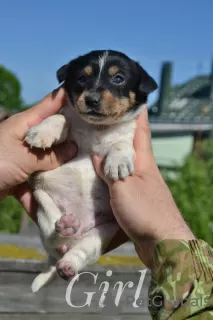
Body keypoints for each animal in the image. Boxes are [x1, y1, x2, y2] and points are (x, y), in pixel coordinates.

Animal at [25, 48, 158, 292]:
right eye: (82, 78)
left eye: (118, 78)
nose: (91, 99)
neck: (97, 129)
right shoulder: (68, 118)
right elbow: (60, 116)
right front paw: (42, 132)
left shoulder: (128, 133)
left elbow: (122, 142)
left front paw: (118, 162)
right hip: (42, 205)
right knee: (53, 238)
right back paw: (65, 227)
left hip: (102, 234)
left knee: (79, 252)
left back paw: (68, 264)